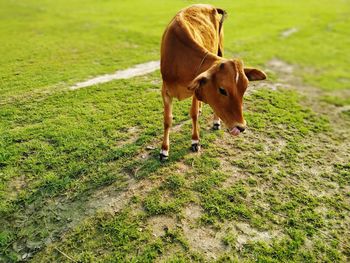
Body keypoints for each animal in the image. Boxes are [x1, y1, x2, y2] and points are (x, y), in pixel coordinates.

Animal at [160, 4, 266, 161]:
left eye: (245, 89)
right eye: (222, 90)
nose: (241, 127)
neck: (180, 60)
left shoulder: (194, 89)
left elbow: (193, 114)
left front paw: (195, 141)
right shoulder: (165, 90)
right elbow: (167, 120)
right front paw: (164, 150)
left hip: (220, 47)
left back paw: (216, 121)